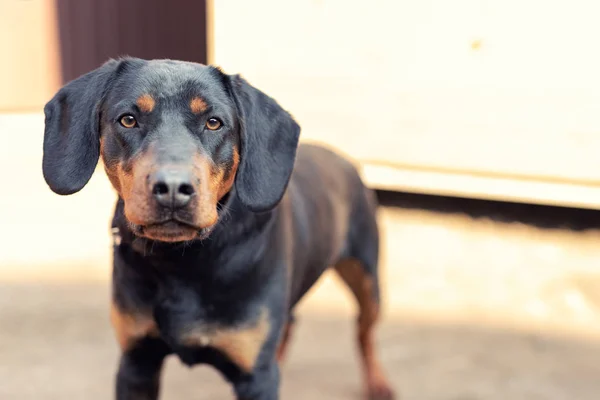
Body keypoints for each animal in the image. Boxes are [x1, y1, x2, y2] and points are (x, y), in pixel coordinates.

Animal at [41, 57, 394, 400]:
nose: (172, 188)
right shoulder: (137, 362)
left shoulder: (255, 377)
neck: (181, 262)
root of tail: (347, 161)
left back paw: (378, 382)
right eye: (128, 120)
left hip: (367, 278)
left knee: (363, 330)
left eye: (214, 122)